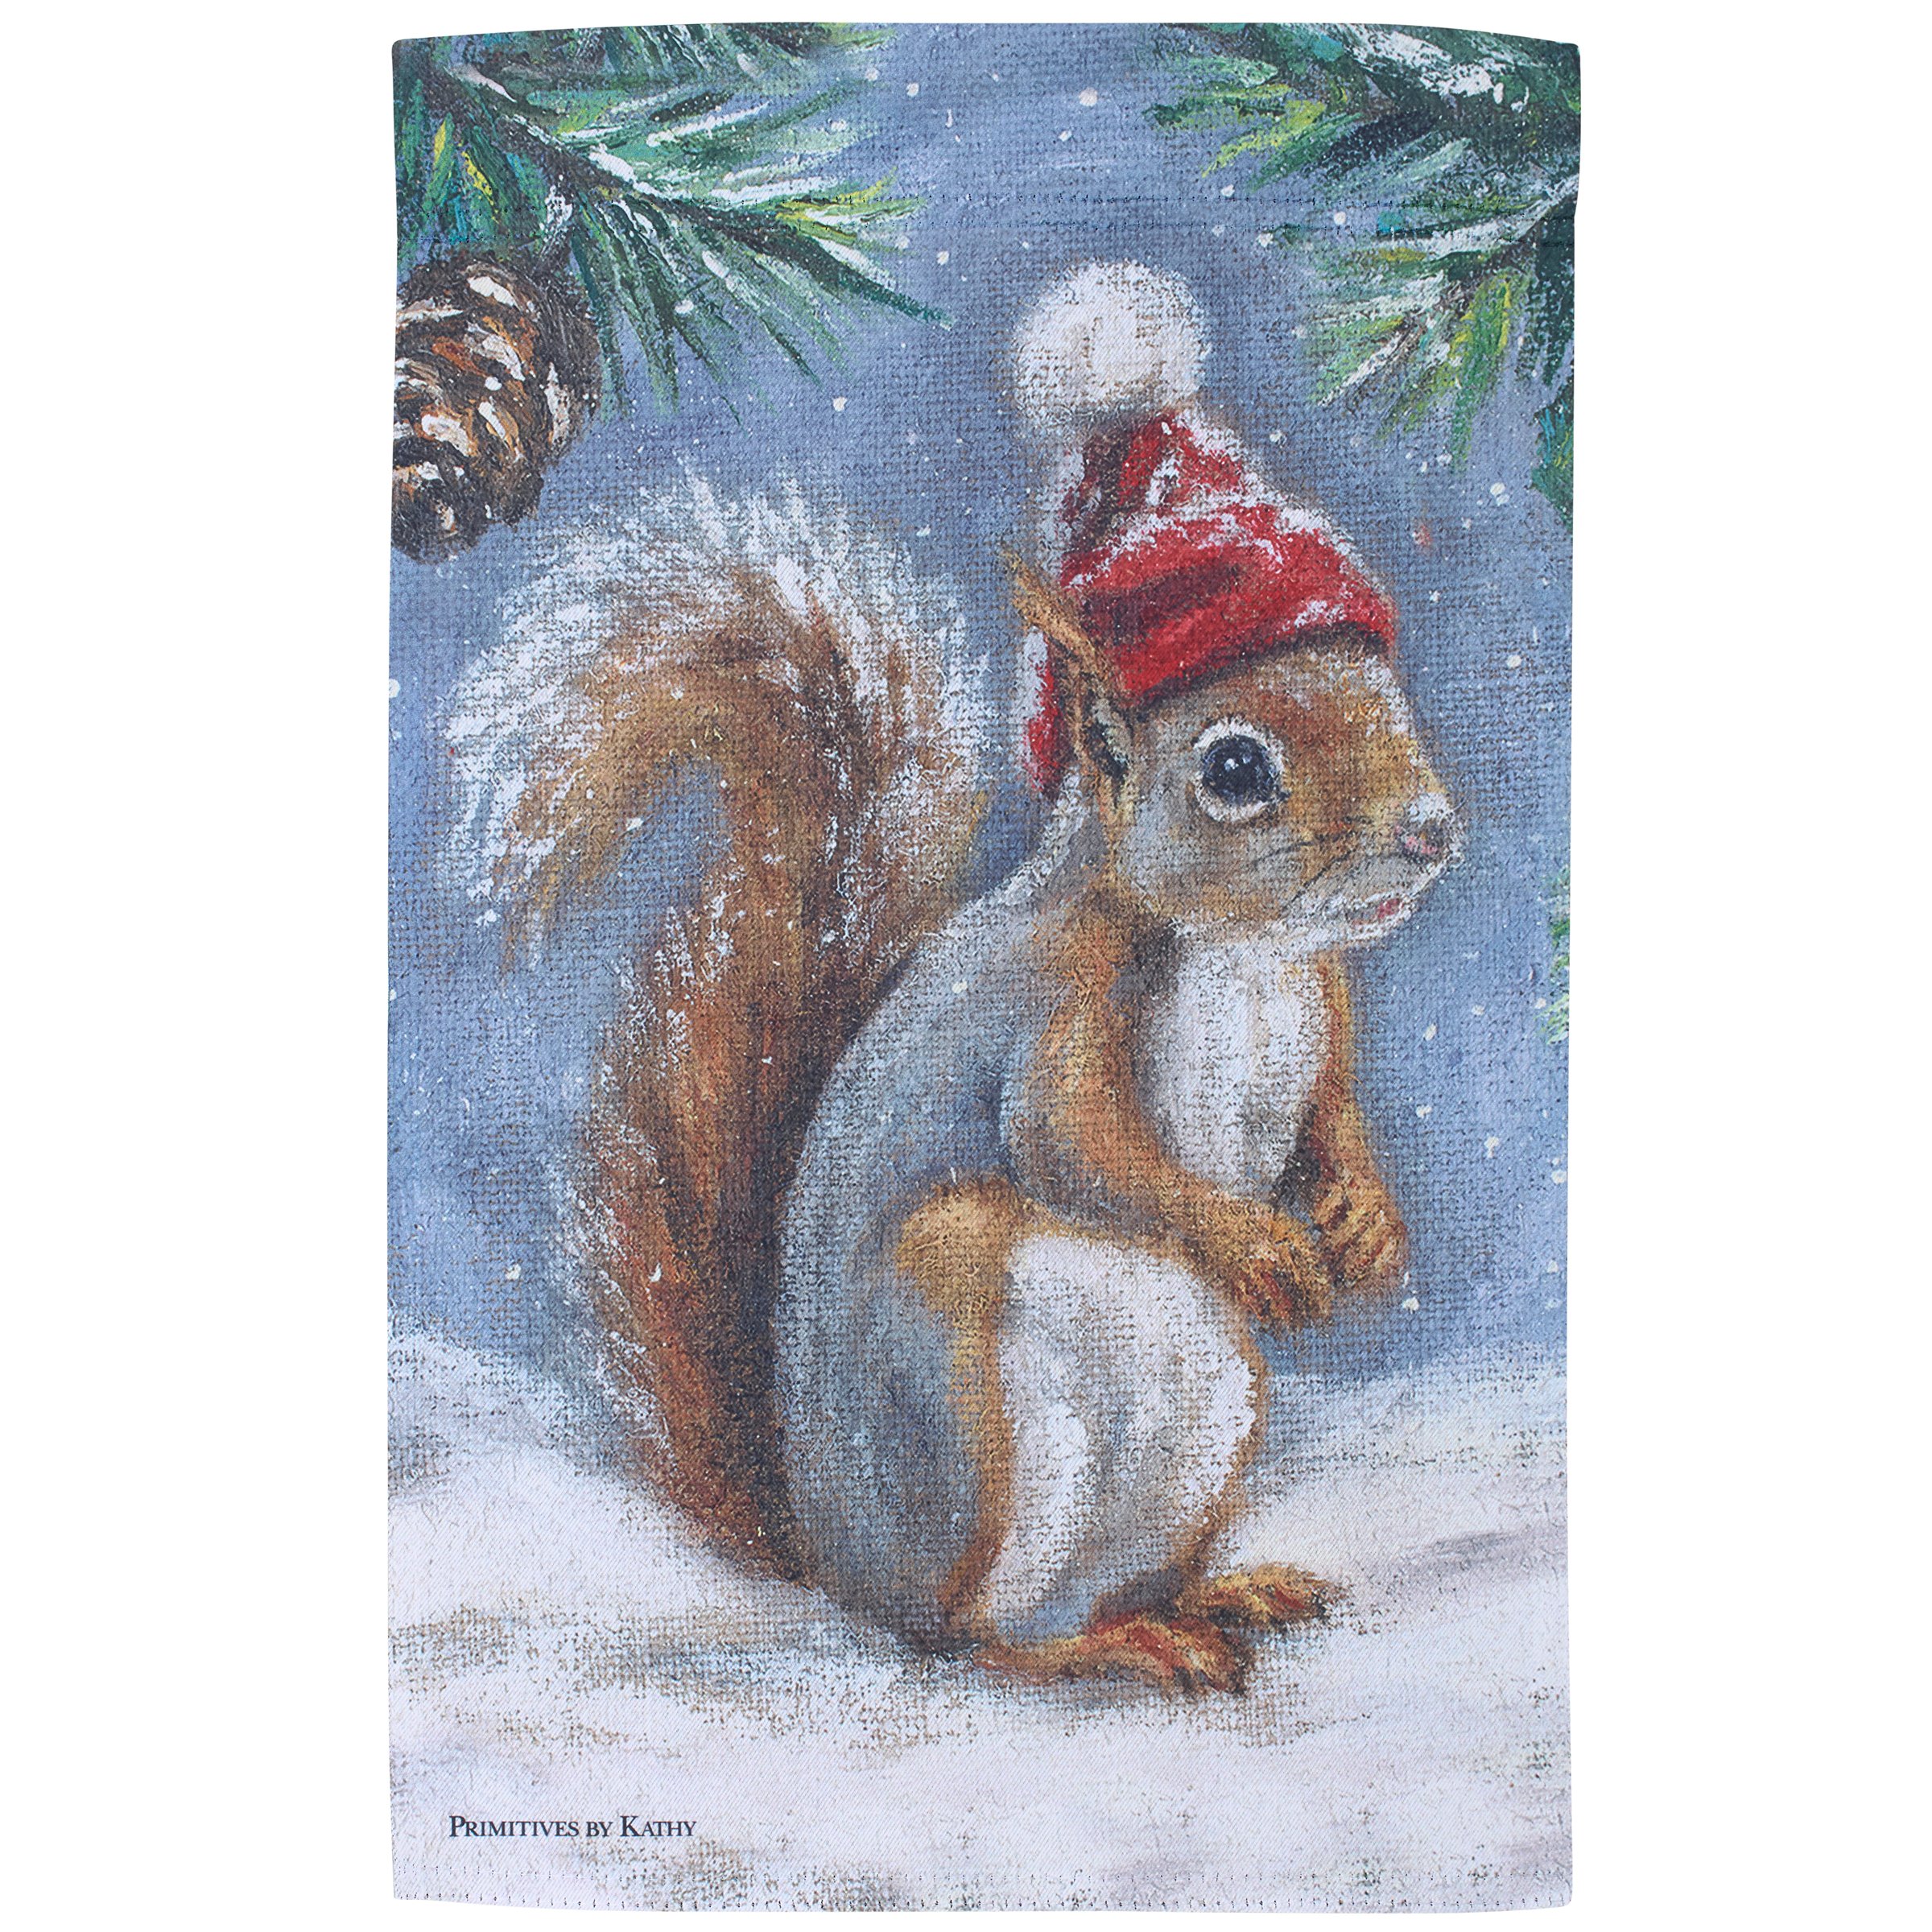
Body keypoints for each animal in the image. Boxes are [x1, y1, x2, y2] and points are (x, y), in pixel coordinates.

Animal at [450, 264, 1460, 1694]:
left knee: (1100, 1584)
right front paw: (1246, 1237)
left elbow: (1331, 1119)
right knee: (973, 1635)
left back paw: (1213, 1598)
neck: (1240, 956)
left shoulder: (1323, 1007)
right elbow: (1075, 1148)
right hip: (964, 1387)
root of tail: (832, 1564)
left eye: (1387, 687)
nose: (1430, 832)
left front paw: (1366, 1220)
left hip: (1209, 1424)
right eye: (1234, 768)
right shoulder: (1055, 1008)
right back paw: (1103, 1650)